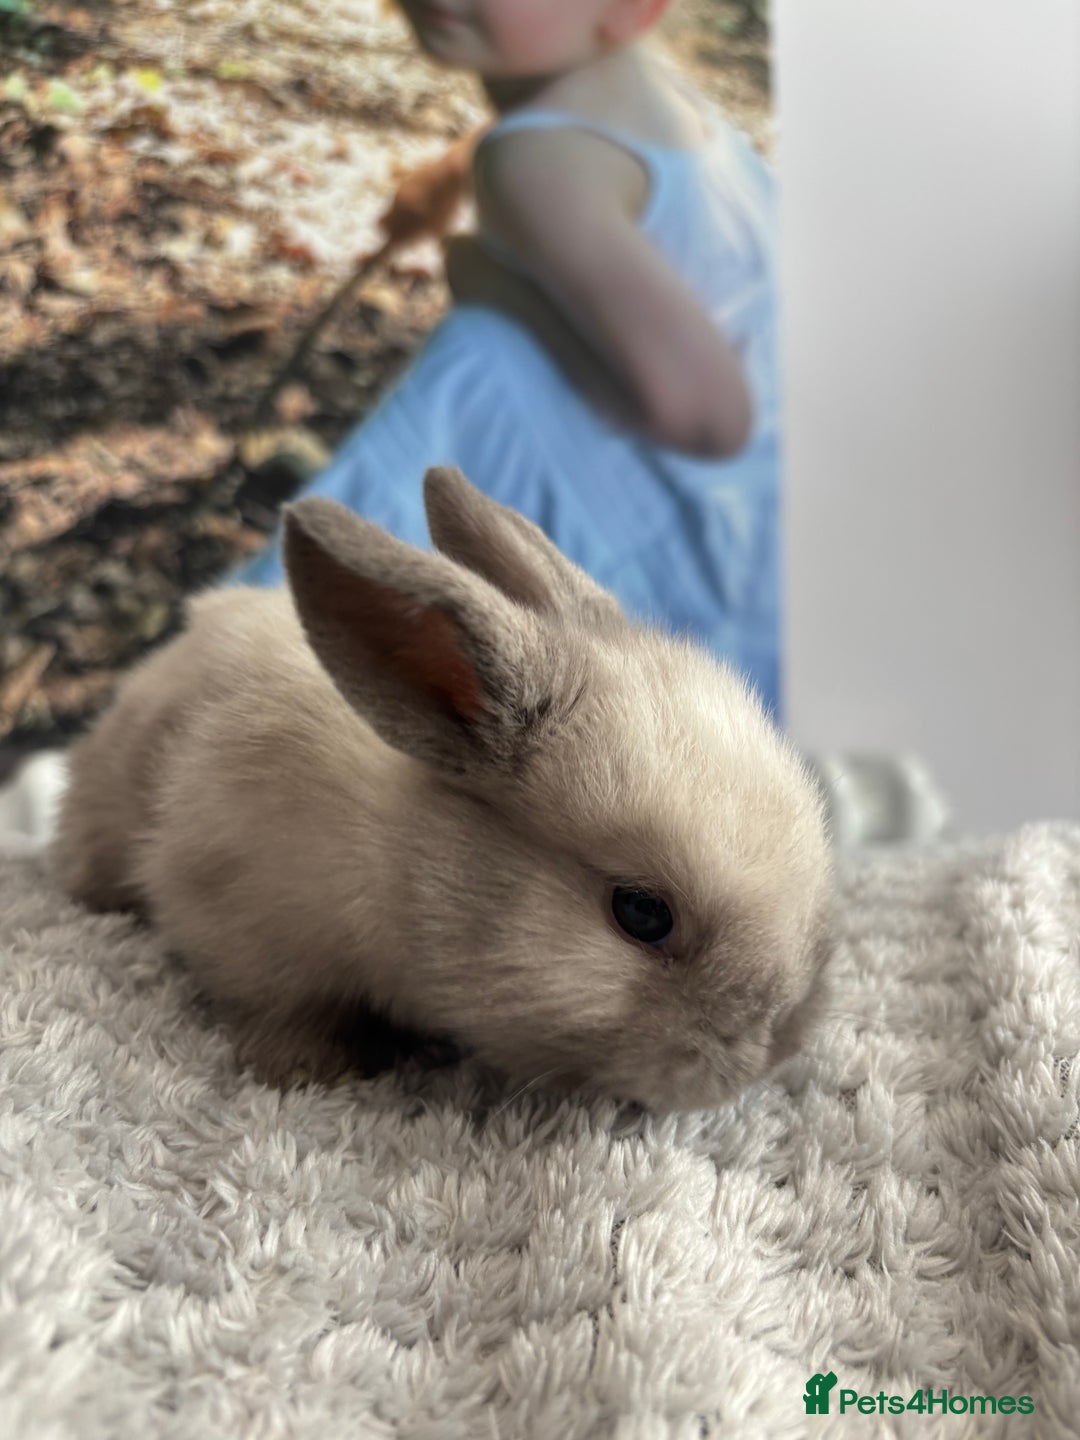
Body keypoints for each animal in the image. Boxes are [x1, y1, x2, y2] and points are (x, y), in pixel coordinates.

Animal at [52, 466, 832, 1113]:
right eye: (641, 913)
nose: (775, 1047)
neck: (403, 859)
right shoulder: (238, 922)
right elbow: (277, 1014)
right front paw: (309, 1074)